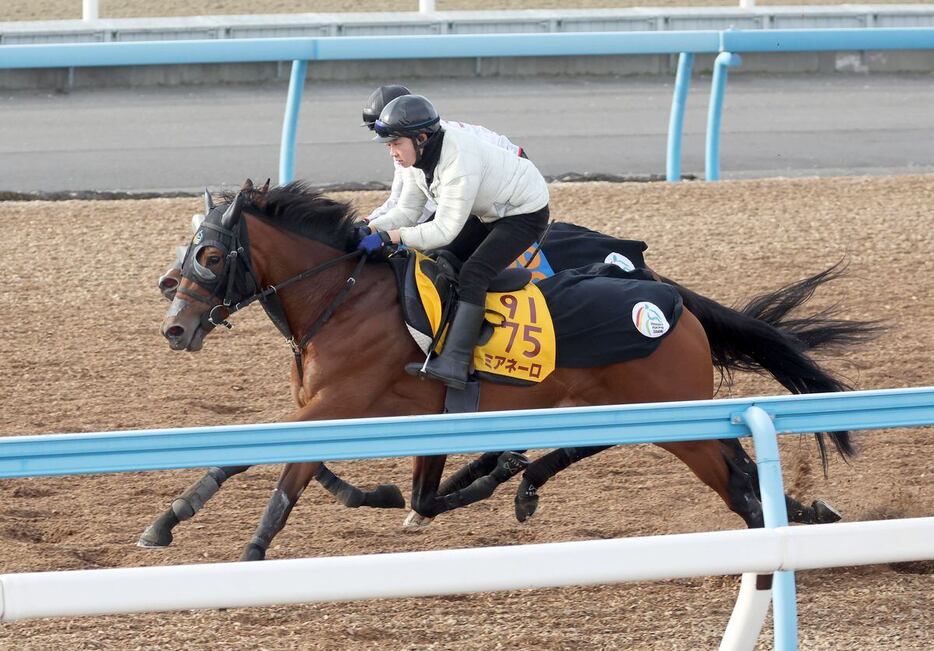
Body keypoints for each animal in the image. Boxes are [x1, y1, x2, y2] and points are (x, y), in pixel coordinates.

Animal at [154, 181, 876, 564]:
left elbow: (274, 466)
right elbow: (380, 484)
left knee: (739, 481)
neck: (344, 294)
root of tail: (669, 297)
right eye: (184, 253)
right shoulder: (362, 410)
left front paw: (229, 540)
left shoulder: (339, 399)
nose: (176, 328)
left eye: (210, 254)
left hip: (674, 414)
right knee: (721, 466)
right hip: (620, 403)